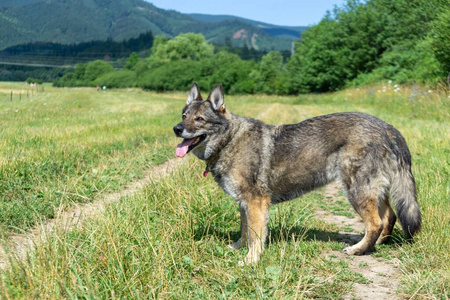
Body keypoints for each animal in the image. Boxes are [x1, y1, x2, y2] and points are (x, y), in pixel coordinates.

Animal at [173, 83, 422, 264]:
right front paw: (238, 248)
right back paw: (376, 245)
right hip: (374, 192)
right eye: (184, 115)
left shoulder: (256, 202)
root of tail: (388, 128)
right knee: (389, 217)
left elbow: (255, 236)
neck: (229, 140)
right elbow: (245, 232)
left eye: (199, 119)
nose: (176, 129)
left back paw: (358, 249)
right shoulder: (244, 204)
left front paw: (251, 260)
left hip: (357, 191)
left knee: (375, 223)